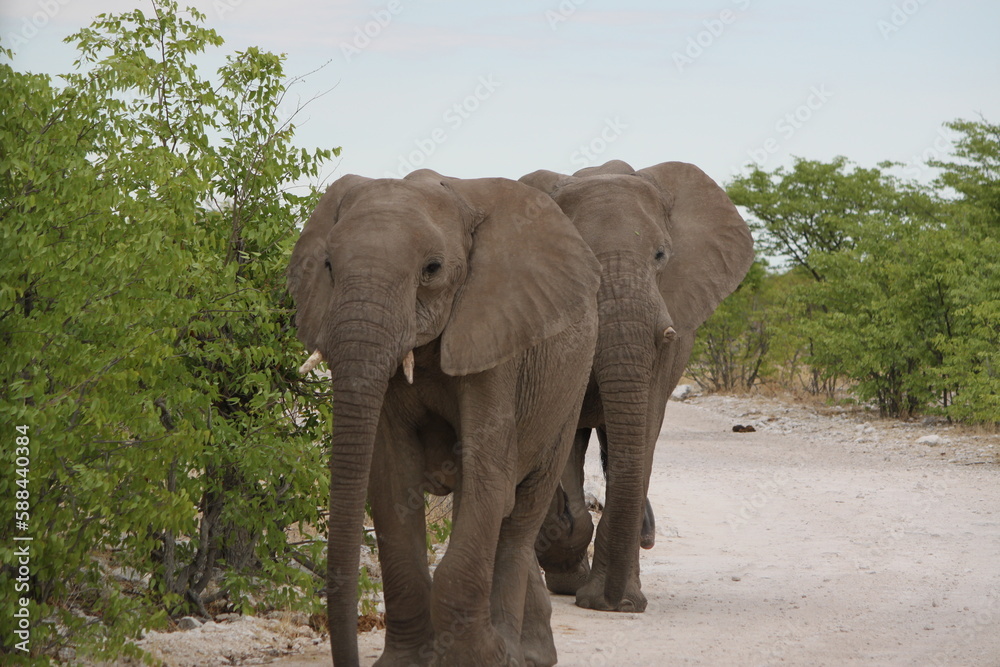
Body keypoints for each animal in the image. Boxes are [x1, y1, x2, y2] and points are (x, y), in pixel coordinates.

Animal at [286, 169, 601, 666]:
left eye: (432, 269)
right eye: (329, 266)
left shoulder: (496, 339)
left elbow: (486, 475)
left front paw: (481, 658)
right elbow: (392, 482)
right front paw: (408, 662)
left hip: (569, 390)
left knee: (519, 519)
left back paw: (517, 652)